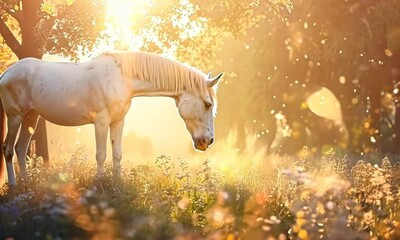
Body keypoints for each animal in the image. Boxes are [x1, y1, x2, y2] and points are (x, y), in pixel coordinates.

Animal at [0, 50, 222, 186]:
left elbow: (117, 154)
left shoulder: (118, 121)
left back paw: (26, 185)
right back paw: (14, 186)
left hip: (31, 117)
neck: (121, 78)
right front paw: (100, 186)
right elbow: (101, 155)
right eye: (207, 104)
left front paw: (117, 185)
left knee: (21, 149)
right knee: (8, 150)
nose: (208, 141)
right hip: (15, 117)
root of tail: (7, 73)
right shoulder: (101, 122)